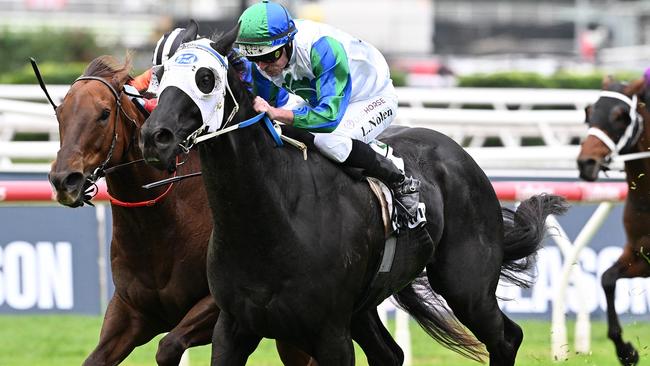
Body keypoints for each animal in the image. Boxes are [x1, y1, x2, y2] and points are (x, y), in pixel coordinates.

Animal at [46, 54, 312, 366]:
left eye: (103, 113)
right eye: (60, 113)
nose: (65, 180)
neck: (160, 224)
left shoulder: (220, 306)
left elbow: (168, 346)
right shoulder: (130, 310)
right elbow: (95, 359)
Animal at [139, 28, 564, 366]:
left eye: (205, 77)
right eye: (160, 75)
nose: (155, 137)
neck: (272, 222)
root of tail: (460, 154)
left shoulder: (329, 334)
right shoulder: (233, 327)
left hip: (467, 285)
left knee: (506, 338)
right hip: (366, 307)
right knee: (392, 354)